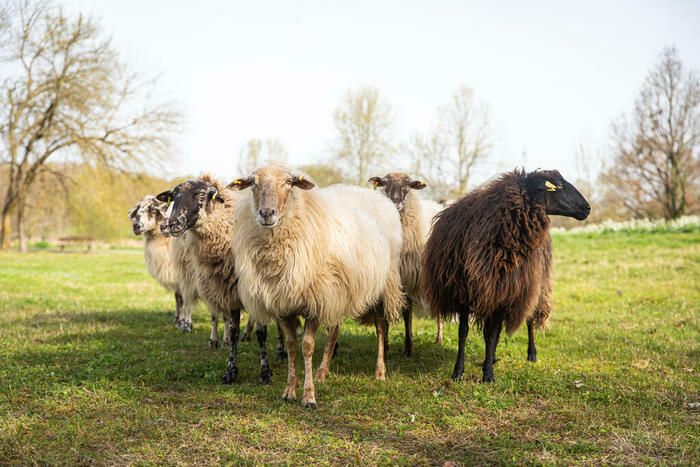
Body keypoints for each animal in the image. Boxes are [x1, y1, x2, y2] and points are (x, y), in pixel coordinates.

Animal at [157, 176, 282, 384]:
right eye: (173, 196)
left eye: (201, 195)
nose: (172, 224)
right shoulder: (230, 294)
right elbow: (233, 333)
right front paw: (230, 371)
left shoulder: (256, 293)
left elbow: (261, 334)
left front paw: (265, 373)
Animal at [230, 166, 404, 408]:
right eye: (253, 183)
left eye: (288, 183)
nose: (266, 213)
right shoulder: (285, 304)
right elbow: (291, 345)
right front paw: (289, 390)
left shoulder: (314, 301)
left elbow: (307, 346)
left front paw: (309, 396)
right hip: (338, 290)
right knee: (335, 329)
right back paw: (323, 371)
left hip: (382, 285)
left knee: (380, 327)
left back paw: (379, 371)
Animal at [370, 174, 446, 356]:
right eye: (385, 183)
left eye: (408, 186)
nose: (395, 201)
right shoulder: (391, 279)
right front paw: (386, 346)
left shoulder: (409, 277)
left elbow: (407, 311)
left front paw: (409, 347)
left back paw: (439, 339)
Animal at [422, 170, 592, 382]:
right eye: (558, 185)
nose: (587, 208)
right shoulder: (465, 292)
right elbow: (465, 332)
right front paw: (458, 372)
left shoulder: (504, 293)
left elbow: (492, 333)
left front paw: (488, 374)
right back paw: (493, 357)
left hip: (534, 285)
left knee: (526, 320)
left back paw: (530, 354)